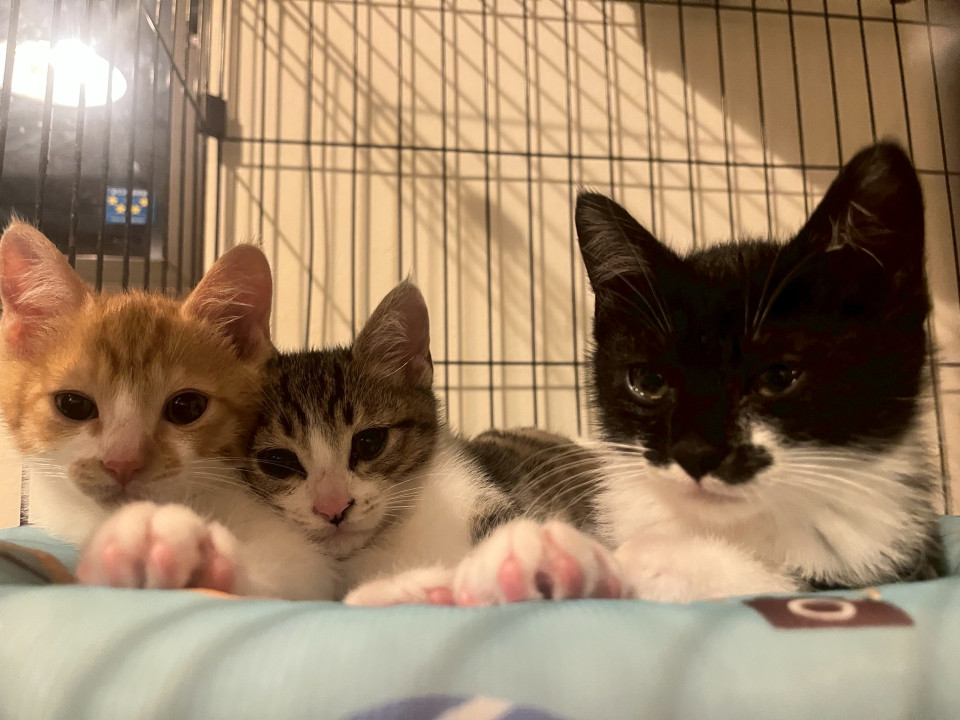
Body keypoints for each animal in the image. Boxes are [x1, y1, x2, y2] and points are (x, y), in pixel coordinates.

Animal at [345, 140, 944, 605]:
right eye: (648, 381)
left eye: (779, 377)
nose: (697, 453)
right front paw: (415, 586)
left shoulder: (904, 563)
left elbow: (783, 582)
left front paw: (583, 560)